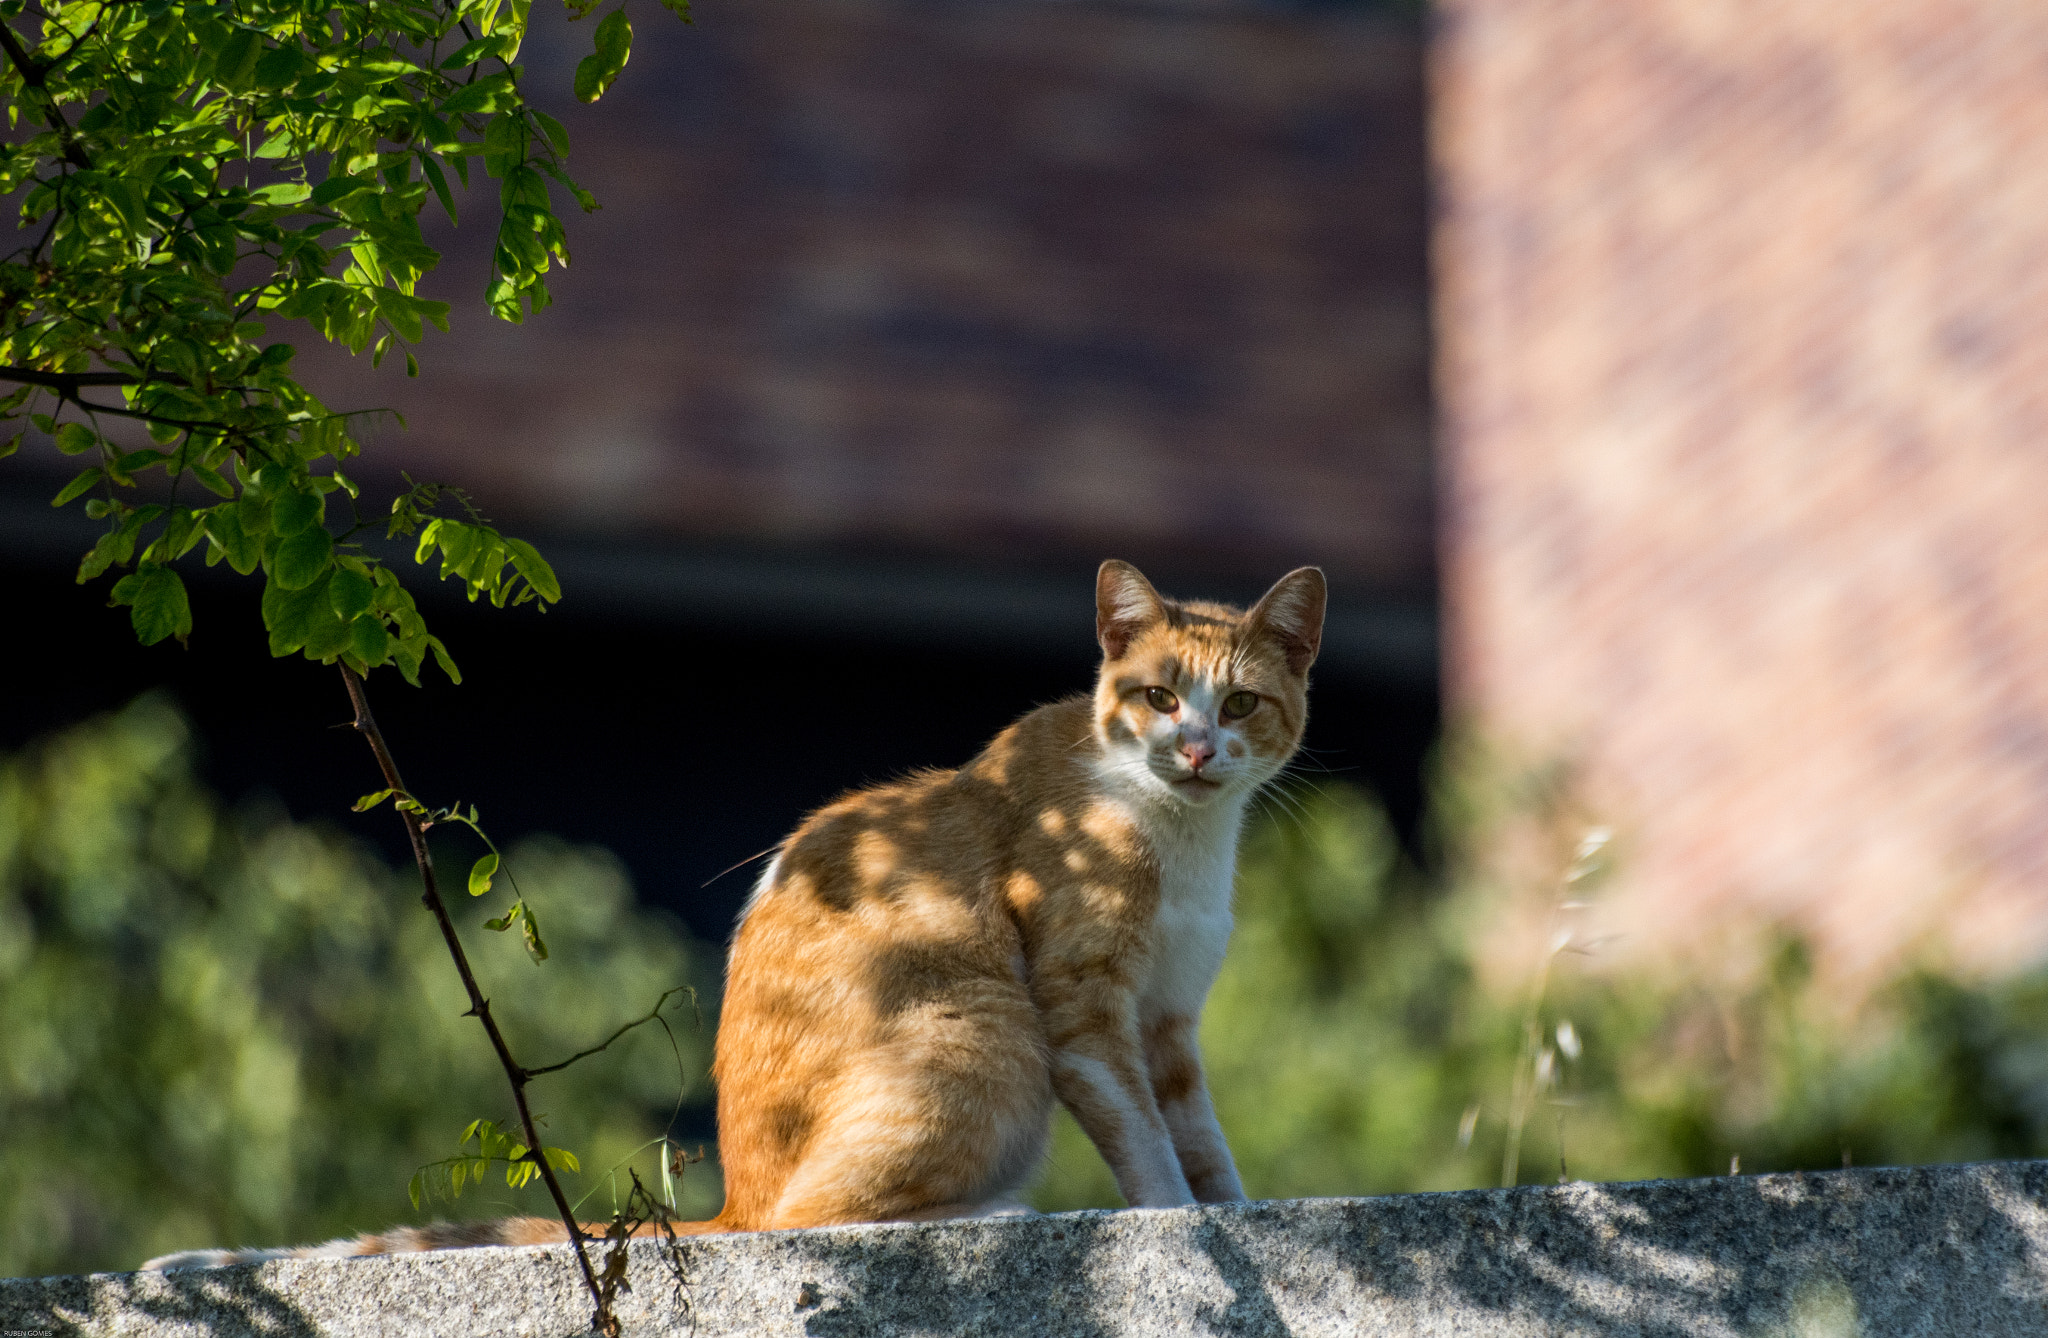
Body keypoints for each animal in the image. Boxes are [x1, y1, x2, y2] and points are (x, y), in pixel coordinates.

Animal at [148, 557, 1327, 1270]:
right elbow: (1149, 1150)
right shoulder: (1084, 1012)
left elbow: (1200, 1138)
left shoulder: (1167, 1022)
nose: (1194, 750)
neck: (1179, 837)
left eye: (1238, 704)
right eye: (1158, 697)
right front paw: (1179, 1225)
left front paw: (1239, 1211)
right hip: (984, 1037)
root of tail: (733, 1201)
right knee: (811, 1221)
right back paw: (988, 1211)